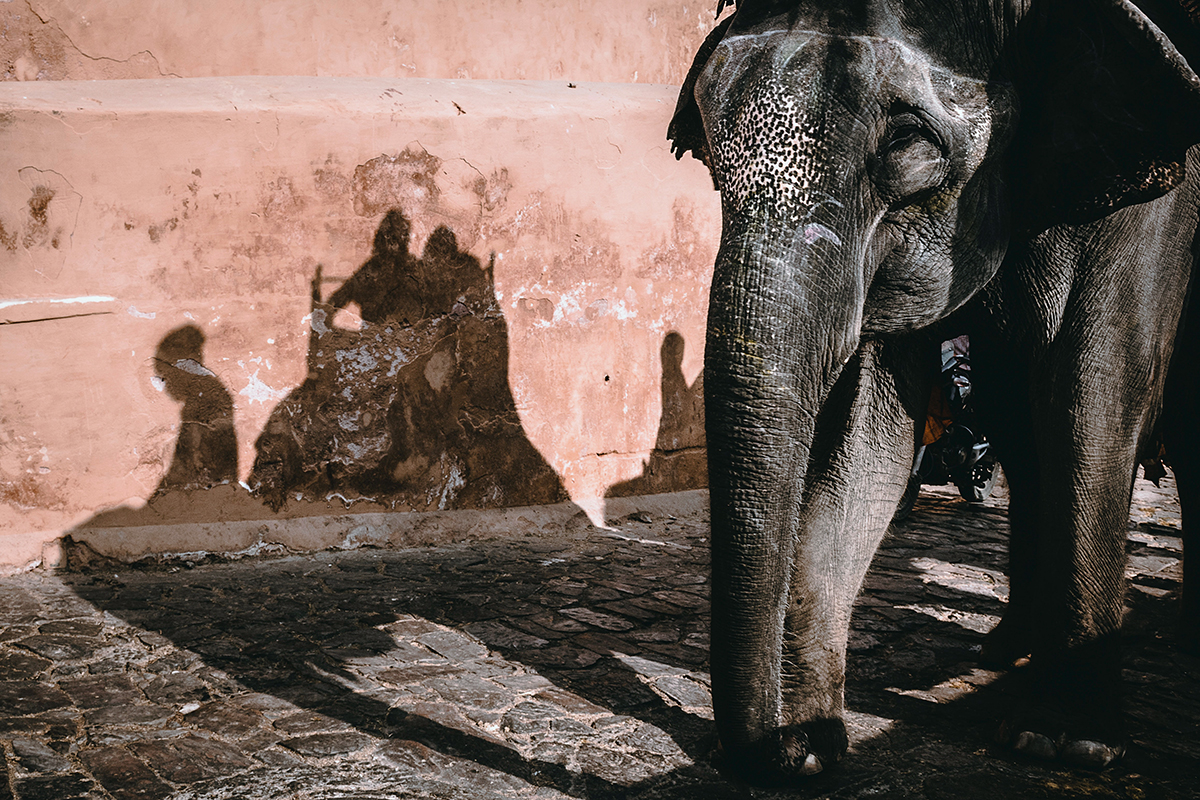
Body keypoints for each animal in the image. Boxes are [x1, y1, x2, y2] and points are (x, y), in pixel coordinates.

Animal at [672, 0, 1200, 786]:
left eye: (907, 140)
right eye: (707, 146)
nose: (761, 754)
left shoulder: (1162, 189)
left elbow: (1096, 387)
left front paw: (1062, 743)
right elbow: (869, 432)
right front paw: (811, 745)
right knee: (1016, 426)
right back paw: (1005, 648)